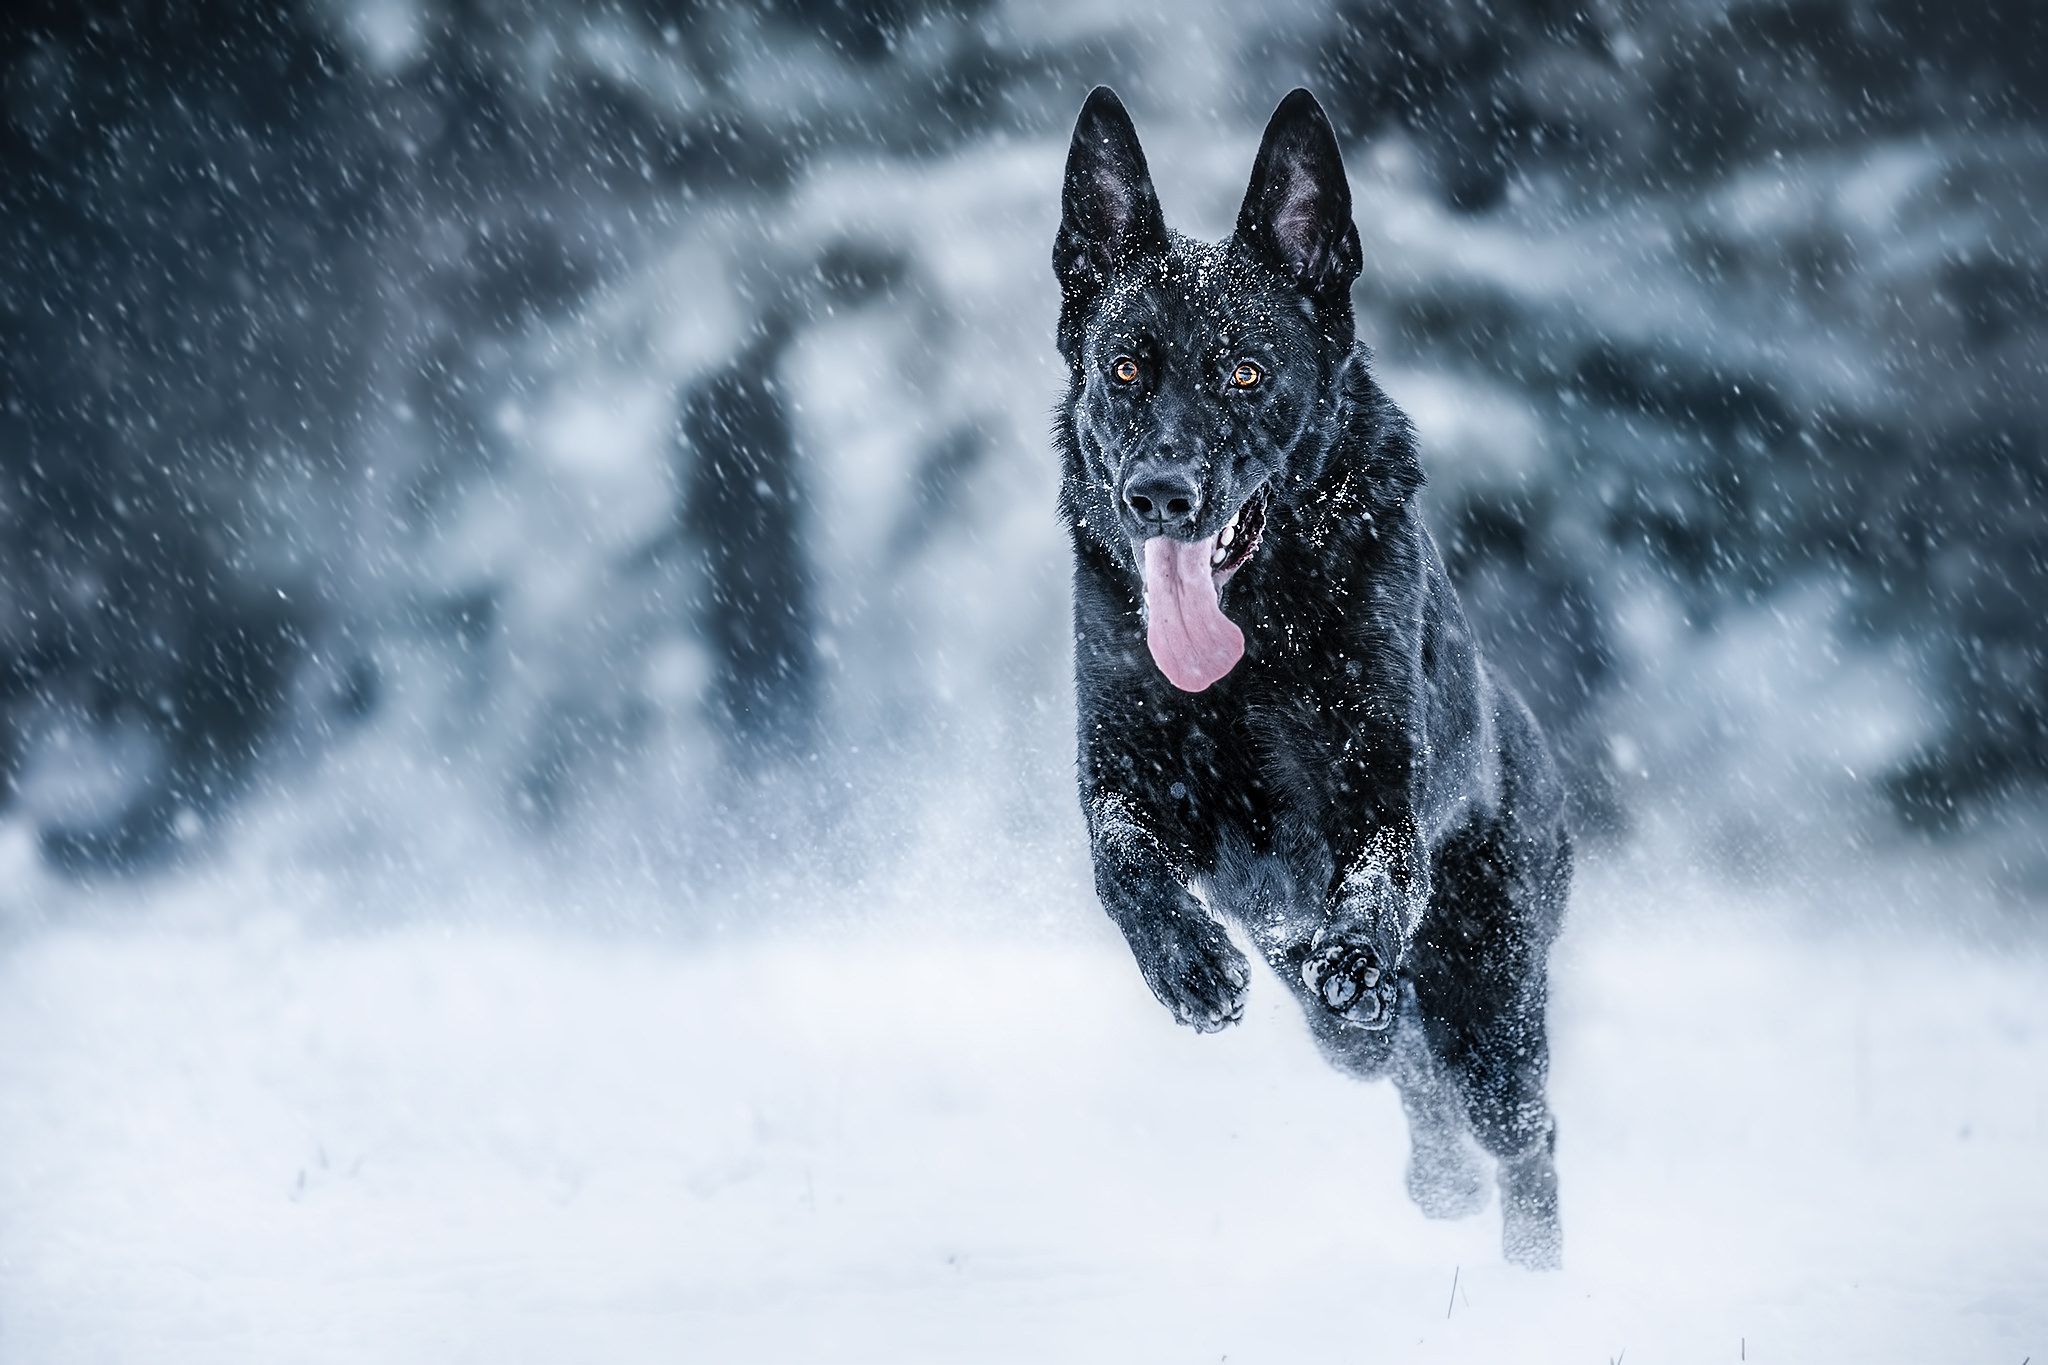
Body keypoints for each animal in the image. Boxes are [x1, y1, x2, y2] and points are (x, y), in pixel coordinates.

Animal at [1056, 85, 1564, 1268]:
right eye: (1125, 368)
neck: (1252, 647)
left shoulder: (1380, 783)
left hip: (1493, 1001)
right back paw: (1436, 1177)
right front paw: (1188, 965)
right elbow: (1121, 863)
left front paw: (1356, 948)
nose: (1160, 495)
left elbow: (1379, 869)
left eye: (1243, 371)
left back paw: (1535, 1276)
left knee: (1519, 1129)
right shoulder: (1120, 773)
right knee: (1397, 1063)